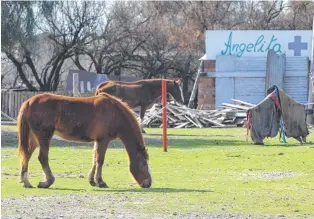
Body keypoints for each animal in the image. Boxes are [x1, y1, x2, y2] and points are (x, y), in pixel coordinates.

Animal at [17, 92, 152, 188]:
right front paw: (100, 182)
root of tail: (29, 102)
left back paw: (26, 182)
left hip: (34, 138)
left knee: (27, 155)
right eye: (144, 163)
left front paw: (92, 180)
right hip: (44, 136)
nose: (149, 183)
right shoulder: (103, 140)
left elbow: (94, 160)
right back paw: (48, 182)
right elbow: (100, 160)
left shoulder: (97, 141)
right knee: (42, 158)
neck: (114, 113)